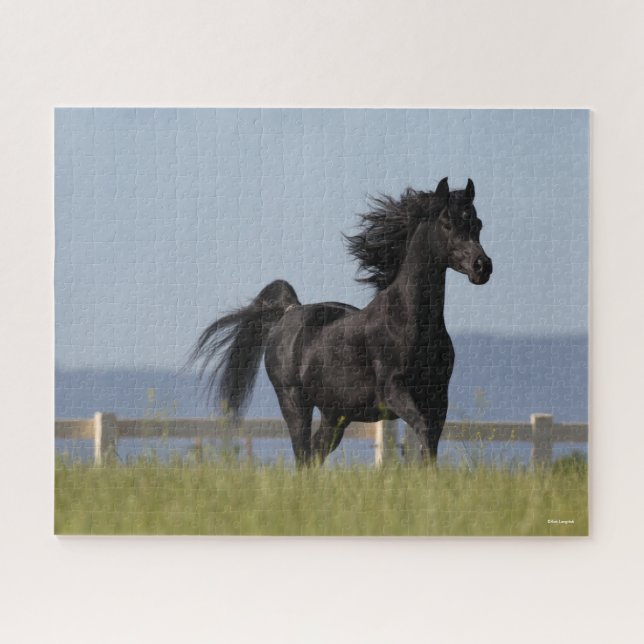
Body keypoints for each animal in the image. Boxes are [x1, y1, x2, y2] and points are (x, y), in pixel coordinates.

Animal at [188, 178, 492, 466]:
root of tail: (288, 312)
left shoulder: (438, 398)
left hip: (335, 416)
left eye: (477, 223)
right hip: (294, 402)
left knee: (314, 455)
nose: (482, 267)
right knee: (302, 454)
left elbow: (430, 443)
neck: (410, 322)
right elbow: (423, 431)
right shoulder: (394, 391)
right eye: (446, 223)